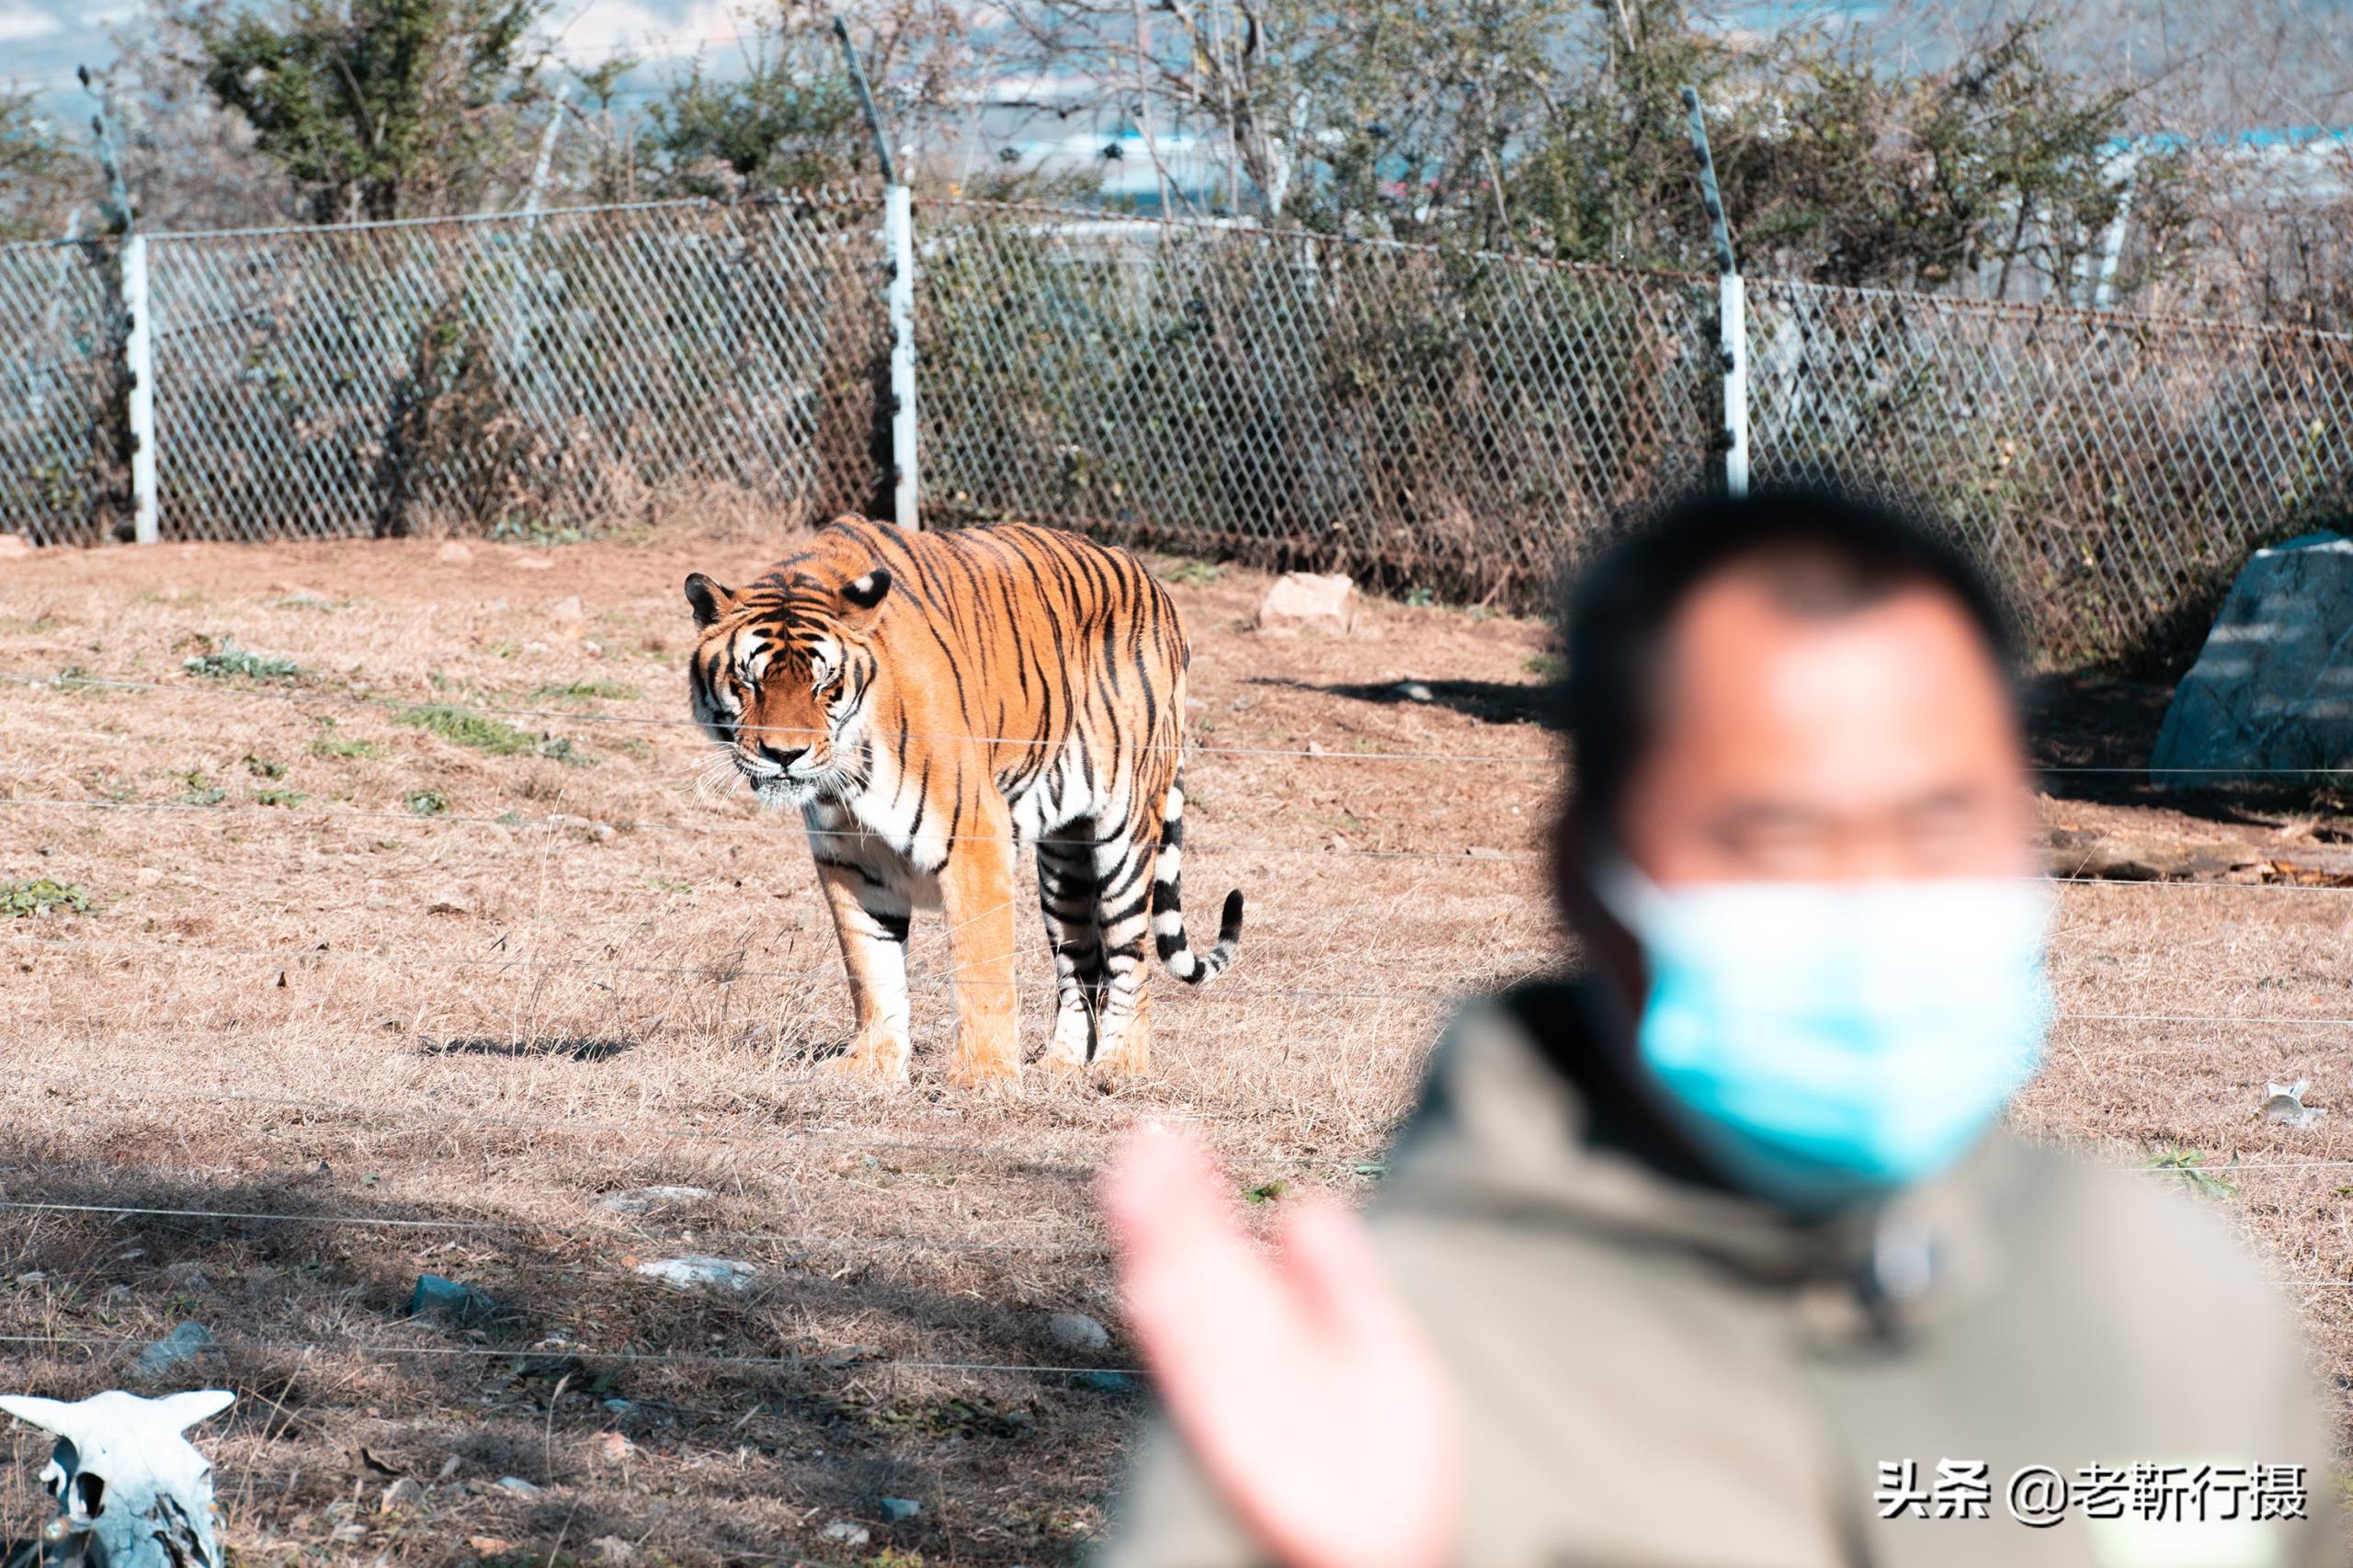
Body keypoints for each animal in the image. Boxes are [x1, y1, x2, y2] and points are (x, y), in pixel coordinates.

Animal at [687, 513, 1251, 1087]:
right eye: (748, 681)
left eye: (825, 683)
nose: (784, 755)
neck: (850, 774)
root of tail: (1154, 583)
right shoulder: (849, 858)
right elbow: (871, 967)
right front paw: (871, 1067)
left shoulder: (975, 837)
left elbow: (981, 967)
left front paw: (984, 1076)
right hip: (1064, 862)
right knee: (1079, 967)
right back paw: (1061, 1066)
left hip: (1125, 834)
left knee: (1128, 958)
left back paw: (1120, 1064)